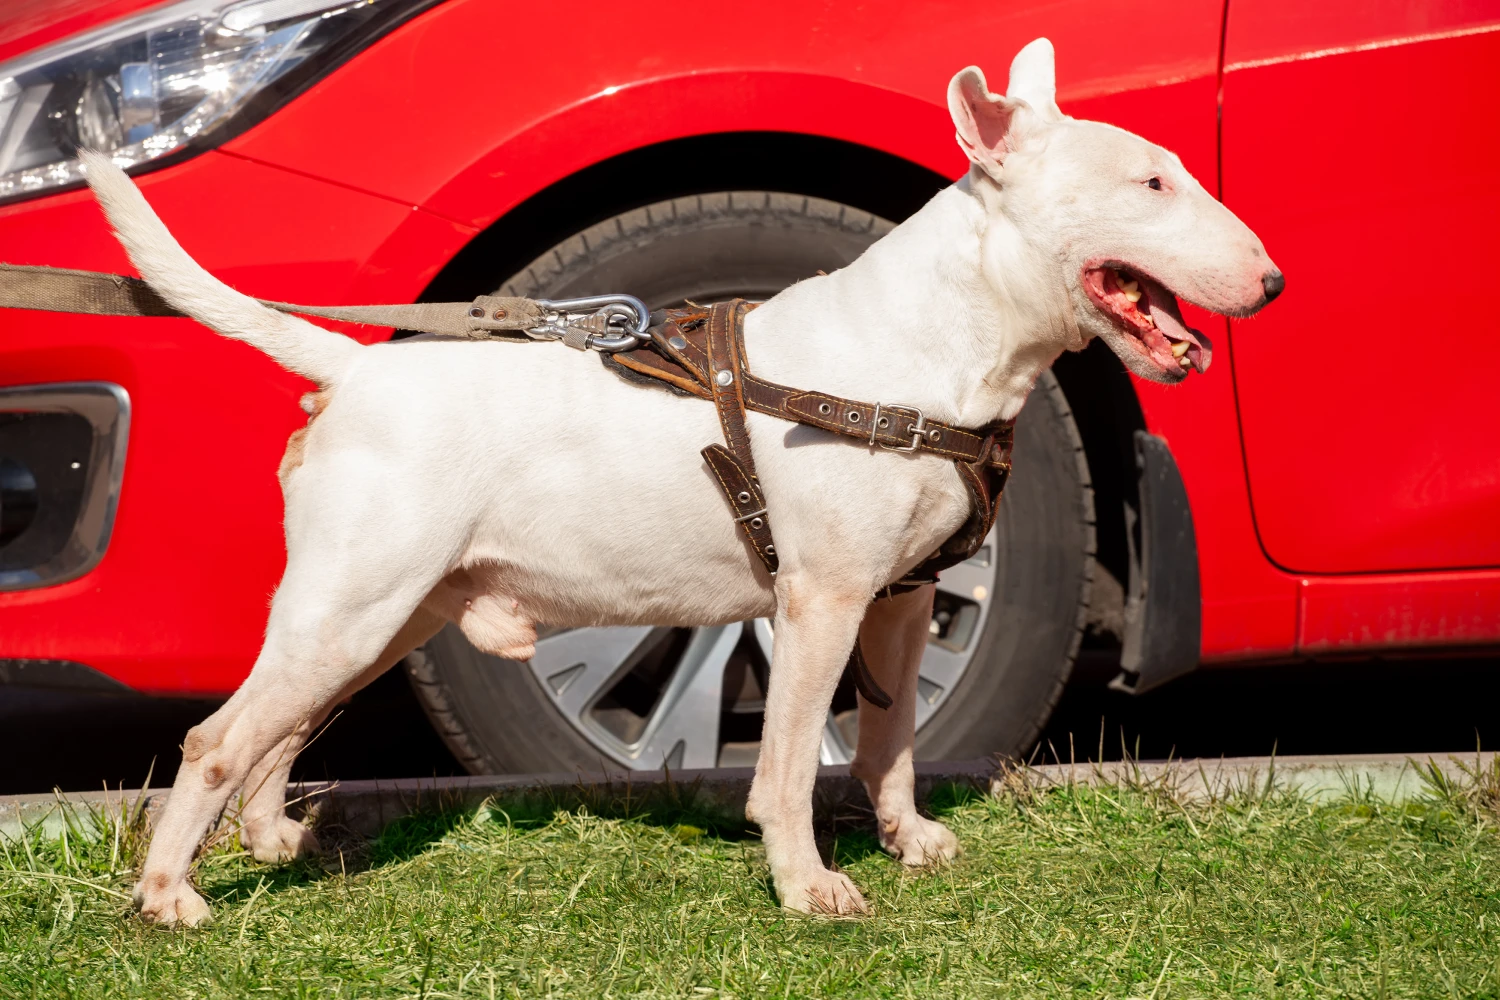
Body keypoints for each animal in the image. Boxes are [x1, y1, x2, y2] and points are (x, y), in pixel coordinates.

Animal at [79, 39, 1278, 929]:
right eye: (1151, 181)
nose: (1270, 283)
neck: (941, 342)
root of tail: (361, 366)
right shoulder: (820, 598)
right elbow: (789, 759)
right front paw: (809, 887)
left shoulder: (900, 596)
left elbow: (891, 735)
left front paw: (911, 841)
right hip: (354, 602)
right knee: (219, 738)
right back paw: (169, 897)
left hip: (389, 612)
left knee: (281, 728)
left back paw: (276, 838)